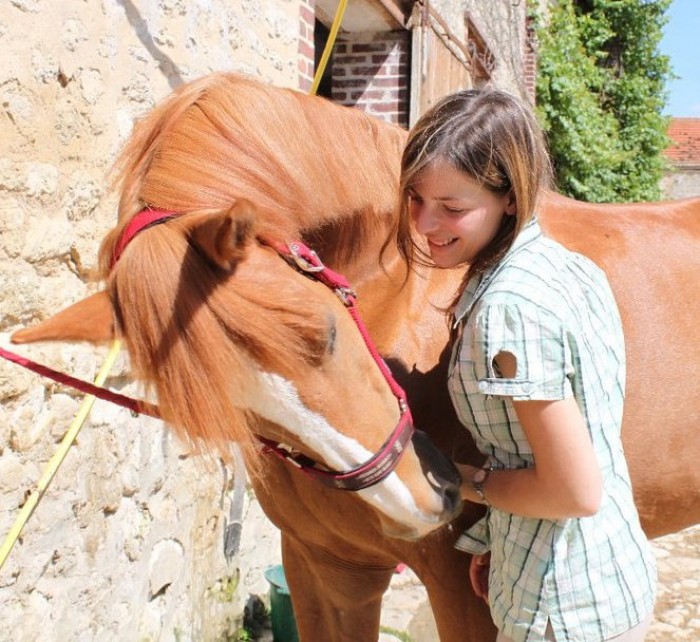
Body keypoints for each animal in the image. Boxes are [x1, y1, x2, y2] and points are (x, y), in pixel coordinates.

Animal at [9, 72, 700, 636]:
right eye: (229, 410)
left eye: (326, 332)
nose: (428, 498)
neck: (412, 294)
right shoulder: (326, 569)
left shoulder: (467, 592)